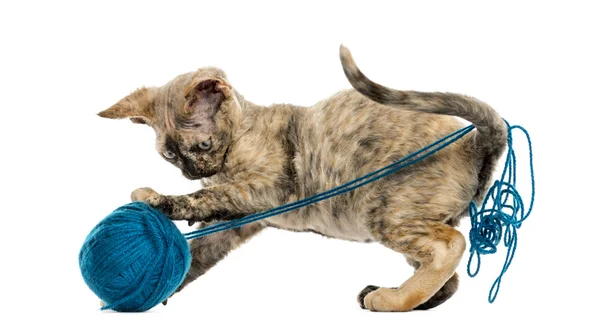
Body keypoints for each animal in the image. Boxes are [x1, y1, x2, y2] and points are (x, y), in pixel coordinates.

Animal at [97, 45, 506, 310]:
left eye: (201, 145)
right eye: (169, 156)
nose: (190, 172)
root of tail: (474, 143)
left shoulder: (268, 190)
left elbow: (206, 198)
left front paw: (158, 200)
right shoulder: (242, 218)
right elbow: (200, 250)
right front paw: (156, 288)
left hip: (382, 210)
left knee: (450, 247)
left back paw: (390, 299)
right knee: (449, 278)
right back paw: (402, 296)